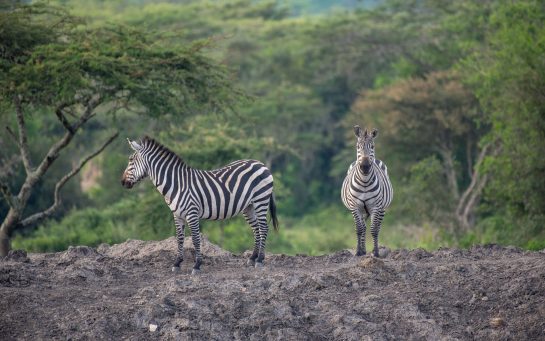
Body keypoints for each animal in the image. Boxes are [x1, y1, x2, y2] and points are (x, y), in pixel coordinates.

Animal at [121, 136, 278, 274]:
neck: (177, 184)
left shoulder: (192, 213)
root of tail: (260, 164)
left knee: (264, 227)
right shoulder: (177, 215)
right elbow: (179, 239)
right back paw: (252, 258)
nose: (122, 182)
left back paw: (260, 260)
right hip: (248, 206)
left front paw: (196, 265)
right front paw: (177, 263)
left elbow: (196, 239)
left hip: (261, 200)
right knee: (256, 229)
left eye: (131, 161)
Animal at [340, 125, 392, 255]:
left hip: (382, 209)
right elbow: (359, 229)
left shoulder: (376, 206)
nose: (364, 166)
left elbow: (374, 229)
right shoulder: (355, 206)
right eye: (357, 147)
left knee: (377, 227)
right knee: (363, 227)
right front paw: (359, 252)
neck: (364, 181)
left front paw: (376, 253)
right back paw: (363, 250)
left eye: (372, 146)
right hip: (361, 210)